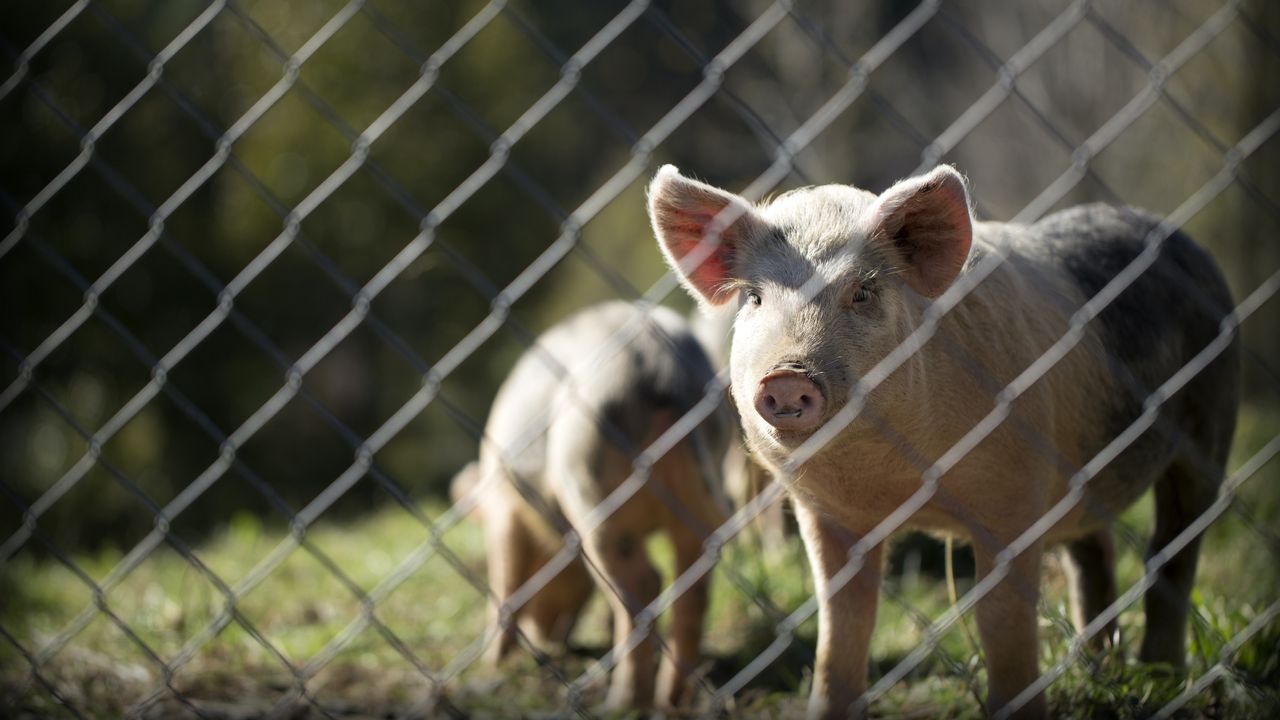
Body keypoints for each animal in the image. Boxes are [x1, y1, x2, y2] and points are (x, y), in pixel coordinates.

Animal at [468, 297, 732, 707]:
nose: (550, 641)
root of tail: (661, 368)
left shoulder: (504, 508)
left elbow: (505, 577)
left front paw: (491, 664)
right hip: (705, 485)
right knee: (694, 580)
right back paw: (669, 700)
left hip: (589, 477)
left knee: (644, 581)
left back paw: (622, 702)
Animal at [650, 163, 1239, 717]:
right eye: (754, 298)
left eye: (863, 292)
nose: (787, 375)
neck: (899, 482)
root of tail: (1175, 237)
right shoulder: (826, 513)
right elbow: (842, 625)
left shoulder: (1014, 495)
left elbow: (1000, 621)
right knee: (1094, 552)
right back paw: (1101, 668)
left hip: (1210, 417)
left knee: (1173, 549)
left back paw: (1161, 677)